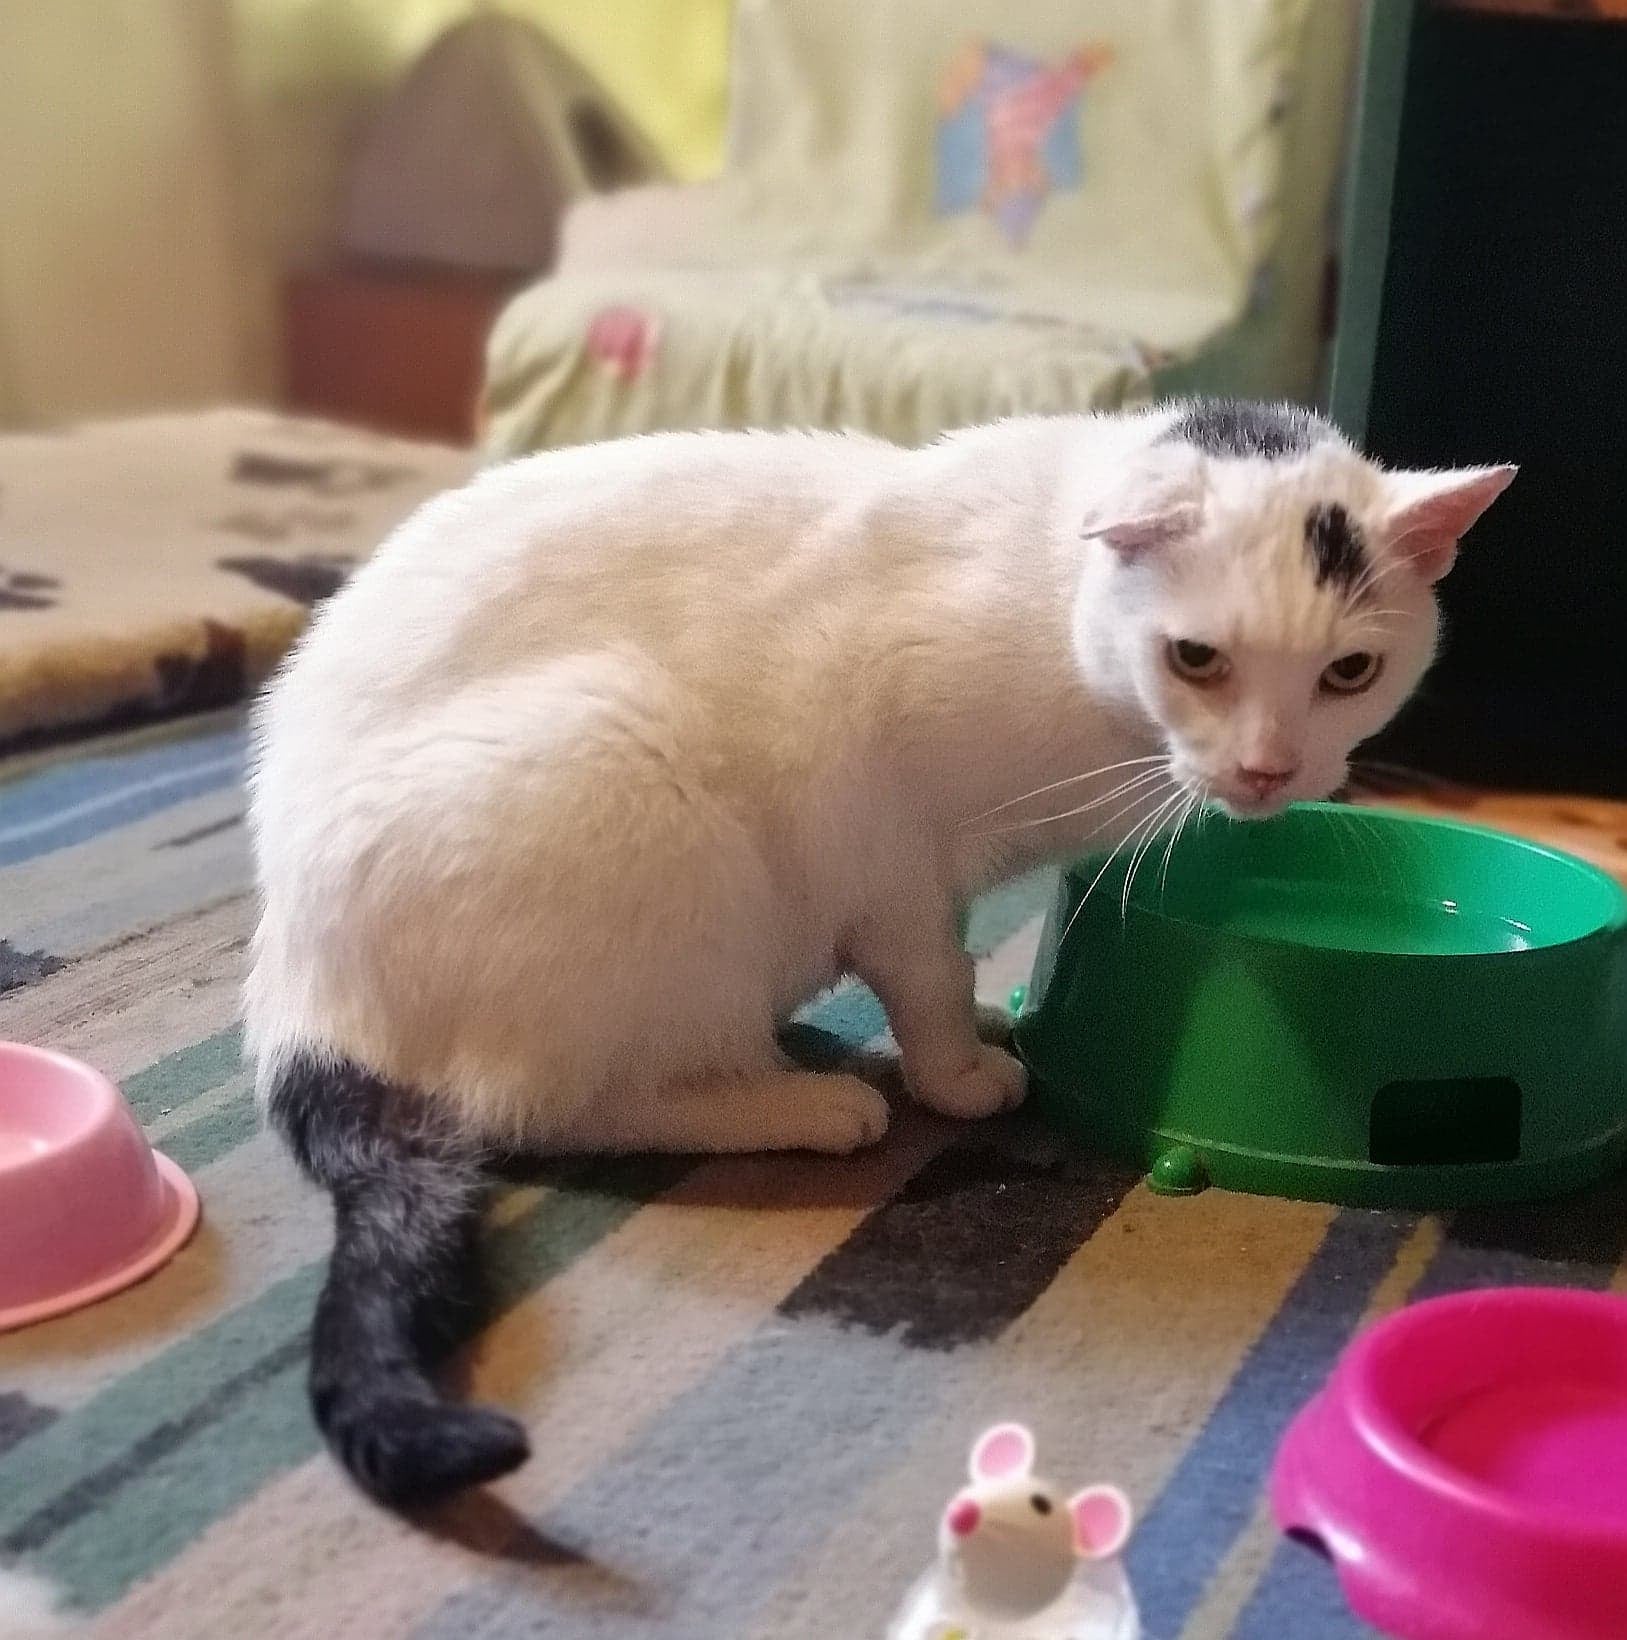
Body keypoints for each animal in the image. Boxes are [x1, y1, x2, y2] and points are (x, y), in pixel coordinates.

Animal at [245, 398, 1512, 1506]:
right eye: (1195, 658)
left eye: (1348, 673)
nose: (1268, 770)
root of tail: (294, 992)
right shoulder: (876, 829)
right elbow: (930, 970)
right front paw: (957, 1071)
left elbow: (945, 958)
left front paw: (992, 1025)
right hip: (621, 764)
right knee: (544, 1104)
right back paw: (799, 1102)